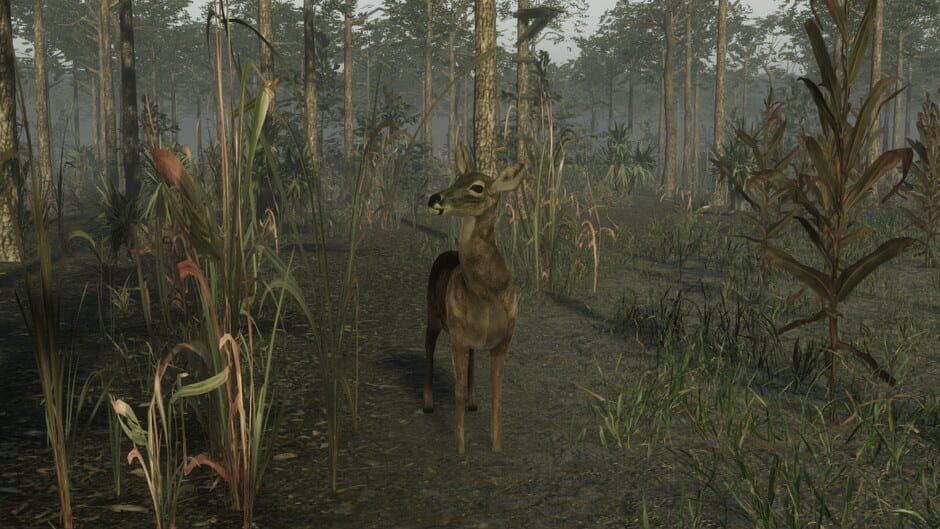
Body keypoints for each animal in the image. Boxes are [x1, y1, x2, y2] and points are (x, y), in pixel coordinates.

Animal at [424, 144, 525, 454]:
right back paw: (428, 404)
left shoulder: (504, 340)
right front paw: (460, 448)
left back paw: (472, 403)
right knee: (428, 349)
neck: (486, 295)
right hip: (432, 315)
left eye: (477, 187)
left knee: (470, 363)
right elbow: (455, 390)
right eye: (457, 178)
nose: (434, 198)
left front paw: (497, 445)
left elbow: (497, 392)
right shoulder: (457, 336)